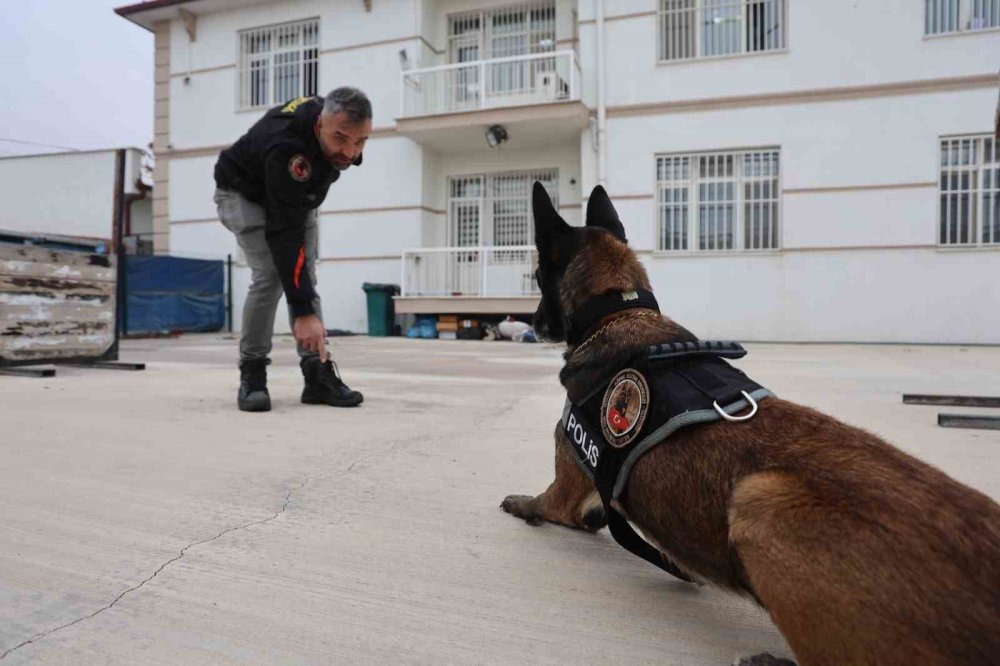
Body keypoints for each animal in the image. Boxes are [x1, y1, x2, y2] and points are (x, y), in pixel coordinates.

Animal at [500, 182, 1000, 664]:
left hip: (761, 501)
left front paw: (524, 504)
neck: (619, 313)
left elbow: (548, 503)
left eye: (539, 277)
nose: (530, 322)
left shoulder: (570, 494)